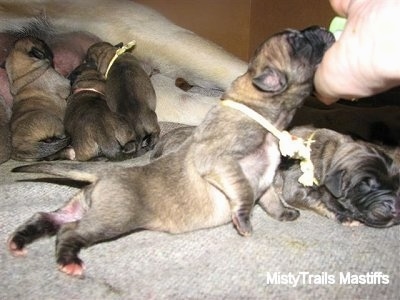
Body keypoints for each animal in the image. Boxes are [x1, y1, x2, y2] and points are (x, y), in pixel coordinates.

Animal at [8, 26, 334, 276]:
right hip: (114, 218)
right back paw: (69, 261)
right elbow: (242, 193)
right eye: (297, 43)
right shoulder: (223, 166)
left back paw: (20, 240)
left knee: (47, 217)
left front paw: (285, 213)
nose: (326, 31)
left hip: (82, 207)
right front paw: (244, 222)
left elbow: (271, 199)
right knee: (71, 232)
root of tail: (104, 175)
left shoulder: (264, 181)